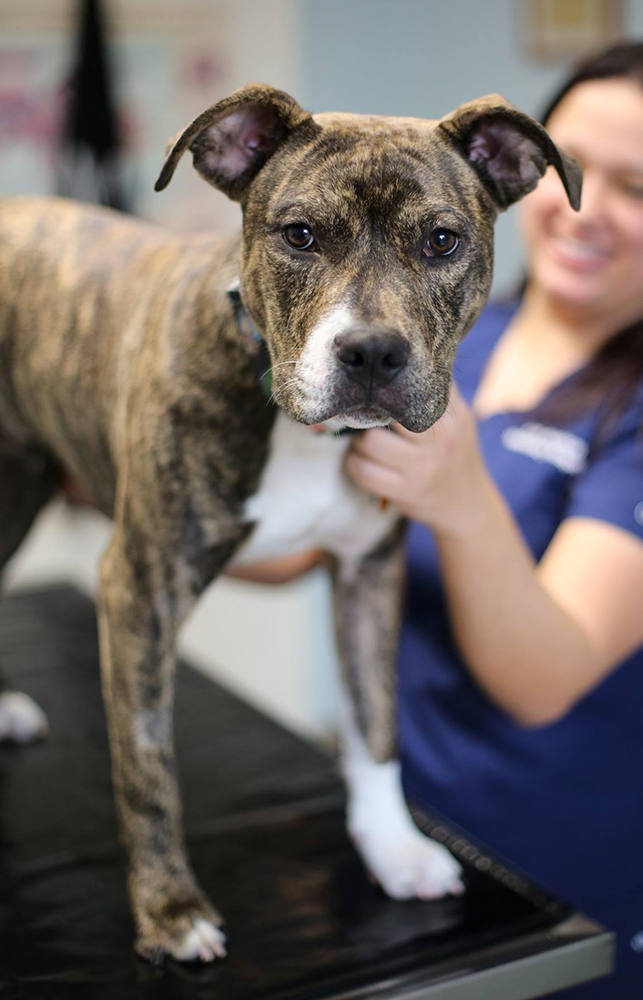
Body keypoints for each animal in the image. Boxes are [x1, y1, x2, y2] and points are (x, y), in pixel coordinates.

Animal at [0, 84, 581, 963]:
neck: (303, 430)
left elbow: (374, 725)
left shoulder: (368, 571)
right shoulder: (140, 587)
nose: (371, 353)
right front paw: (169, 910)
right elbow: (146, 766)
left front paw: (392, 846)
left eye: (441, 240)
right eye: (298, 234)